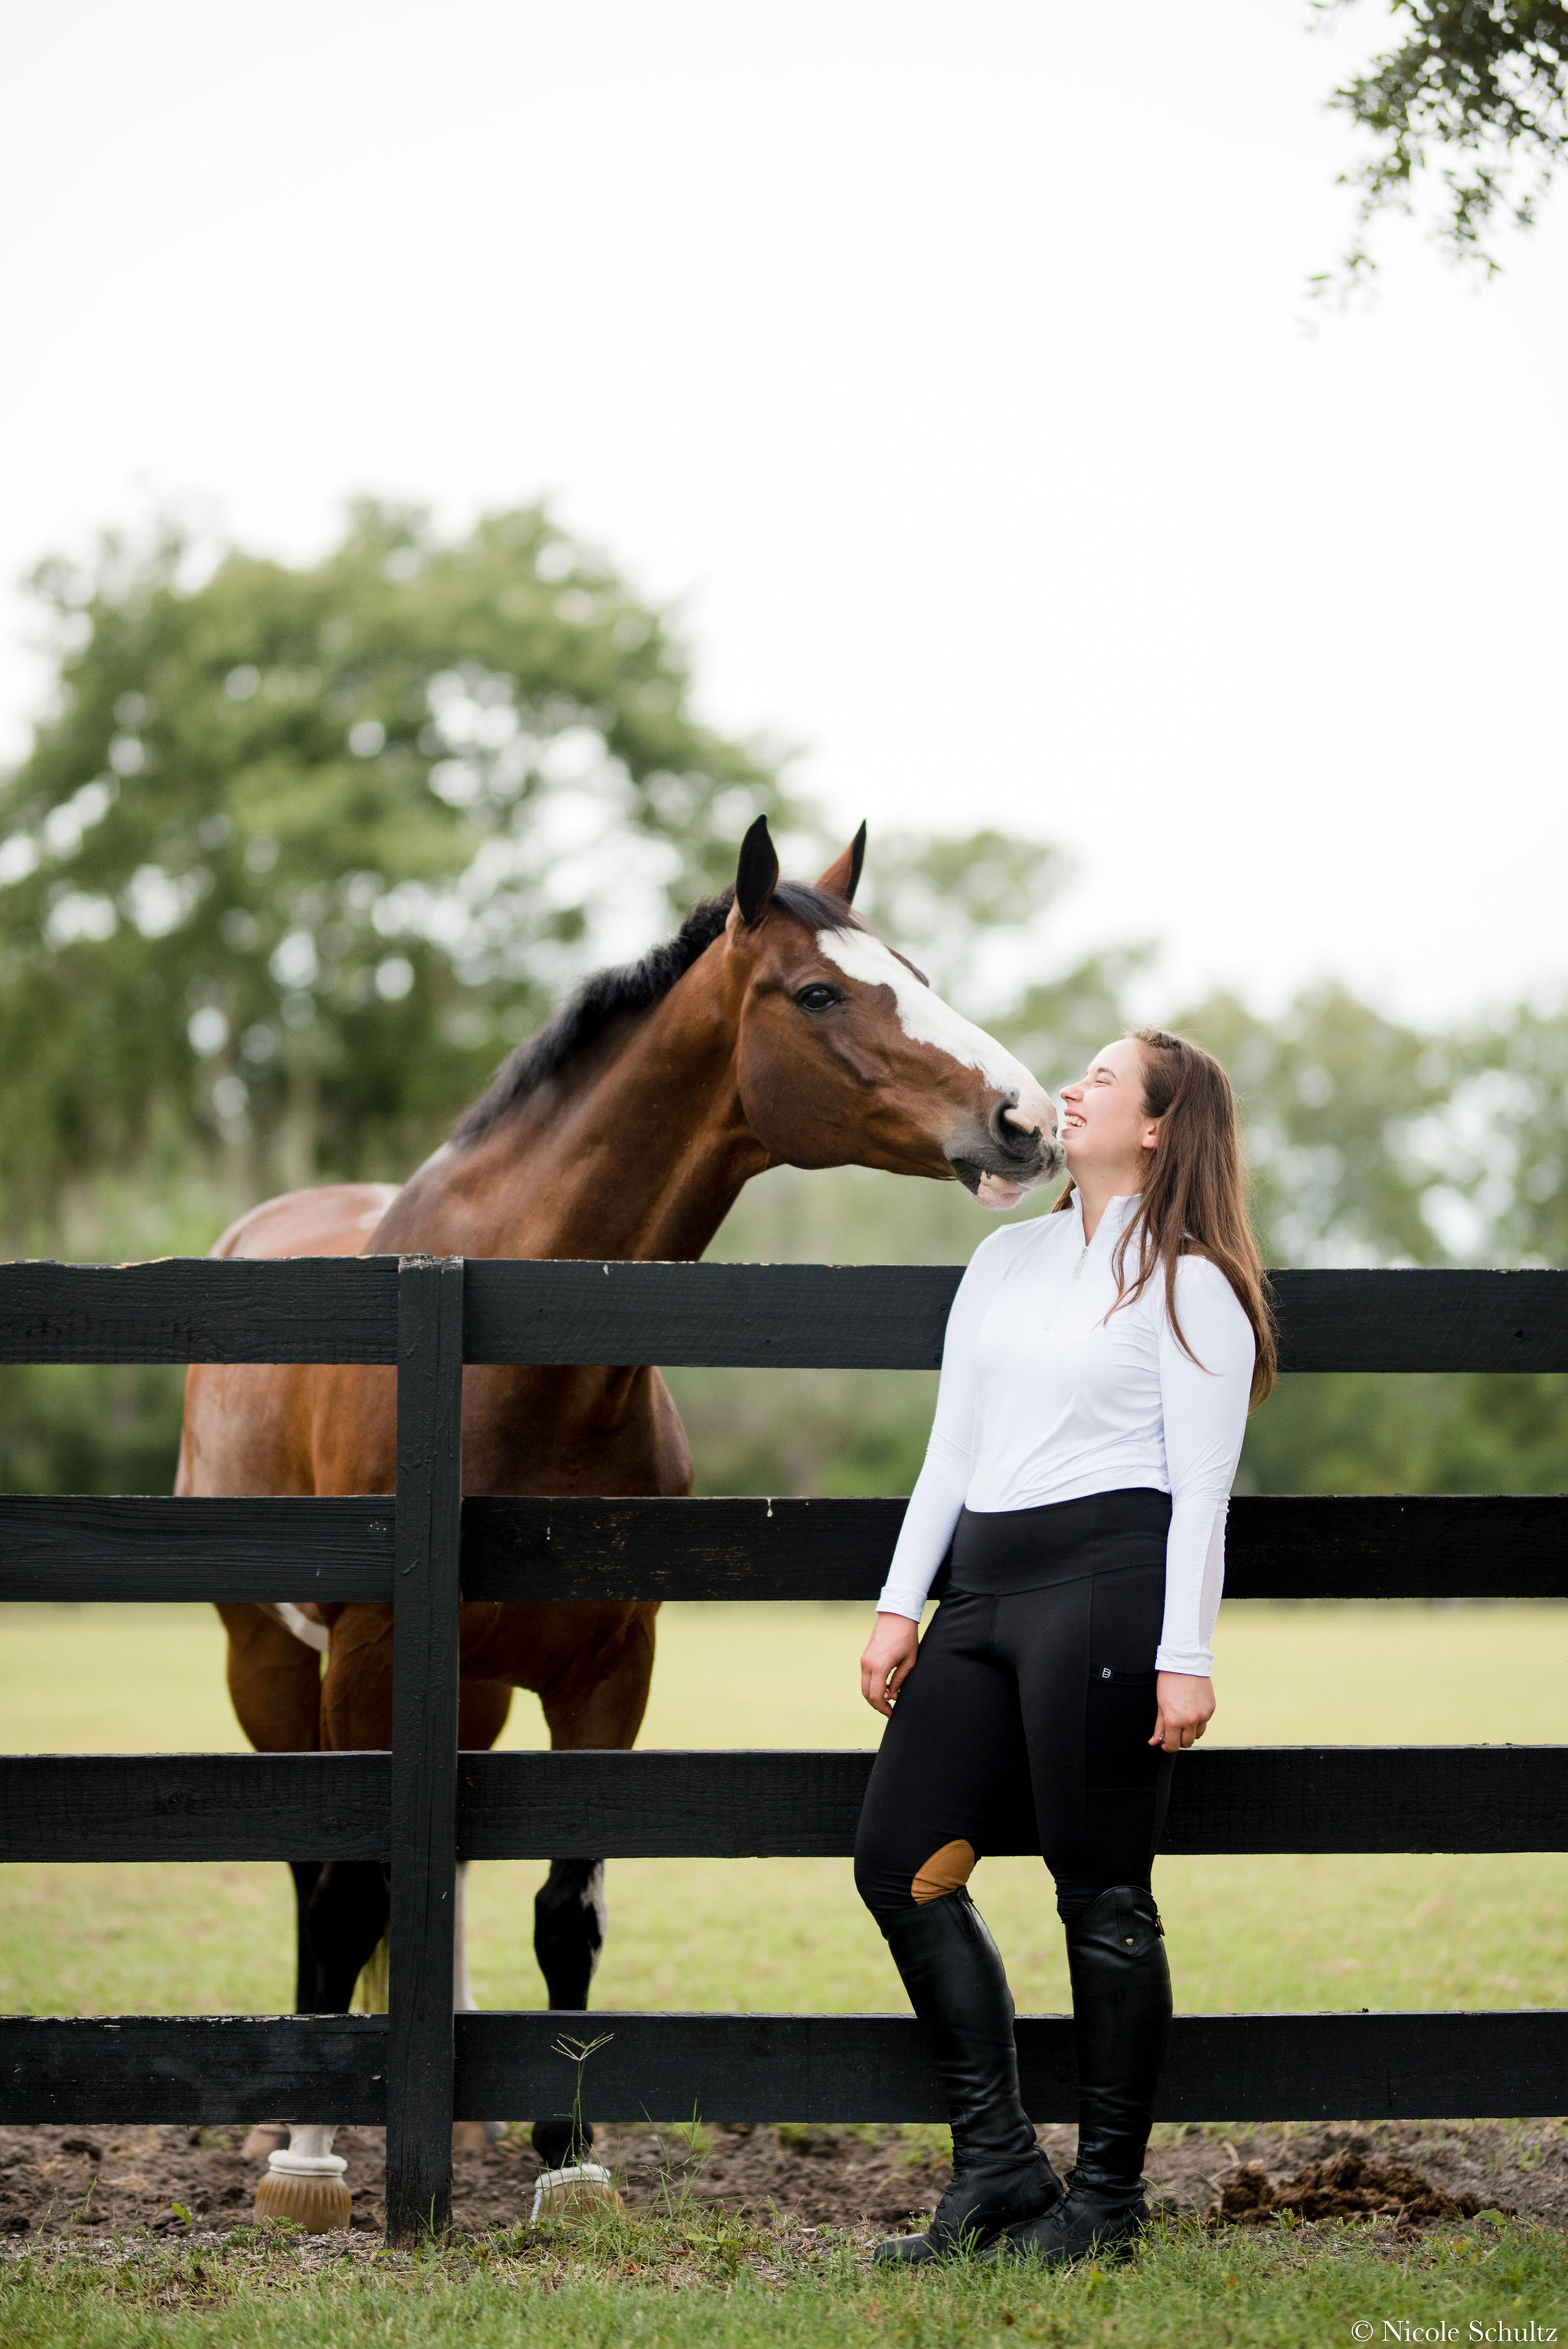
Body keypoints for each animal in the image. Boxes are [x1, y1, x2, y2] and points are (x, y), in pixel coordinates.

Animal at [181, 812, 1065, 2217]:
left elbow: (566, 1906)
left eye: (912, 970)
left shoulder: (610, 1668)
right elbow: (352, 1886)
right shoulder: (367, 1657)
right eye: (818, 993)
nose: (1024, 1118)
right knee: (320, 1875)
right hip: (269, 1664)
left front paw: (569, 2154)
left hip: (471, 1687)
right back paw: (311, 2114)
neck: (509, 1351)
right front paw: (312, 2162)